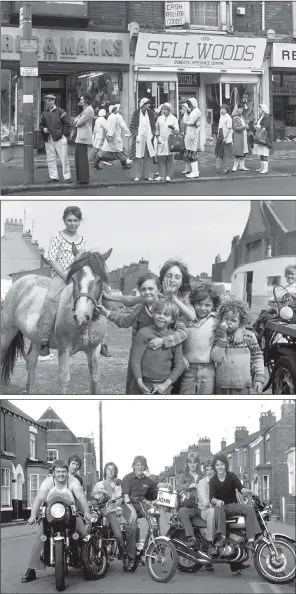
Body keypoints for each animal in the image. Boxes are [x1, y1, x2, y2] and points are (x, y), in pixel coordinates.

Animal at [0, 245, 112, 394]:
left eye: (99, 280)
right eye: (73, 279)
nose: (81, 316)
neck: (85, 326)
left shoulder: (94, 349)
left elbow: (95, 379)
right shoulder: (64, 348)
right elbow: (64, 379)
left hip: (36, 338)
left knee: (31, 361)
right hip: (7, 332)